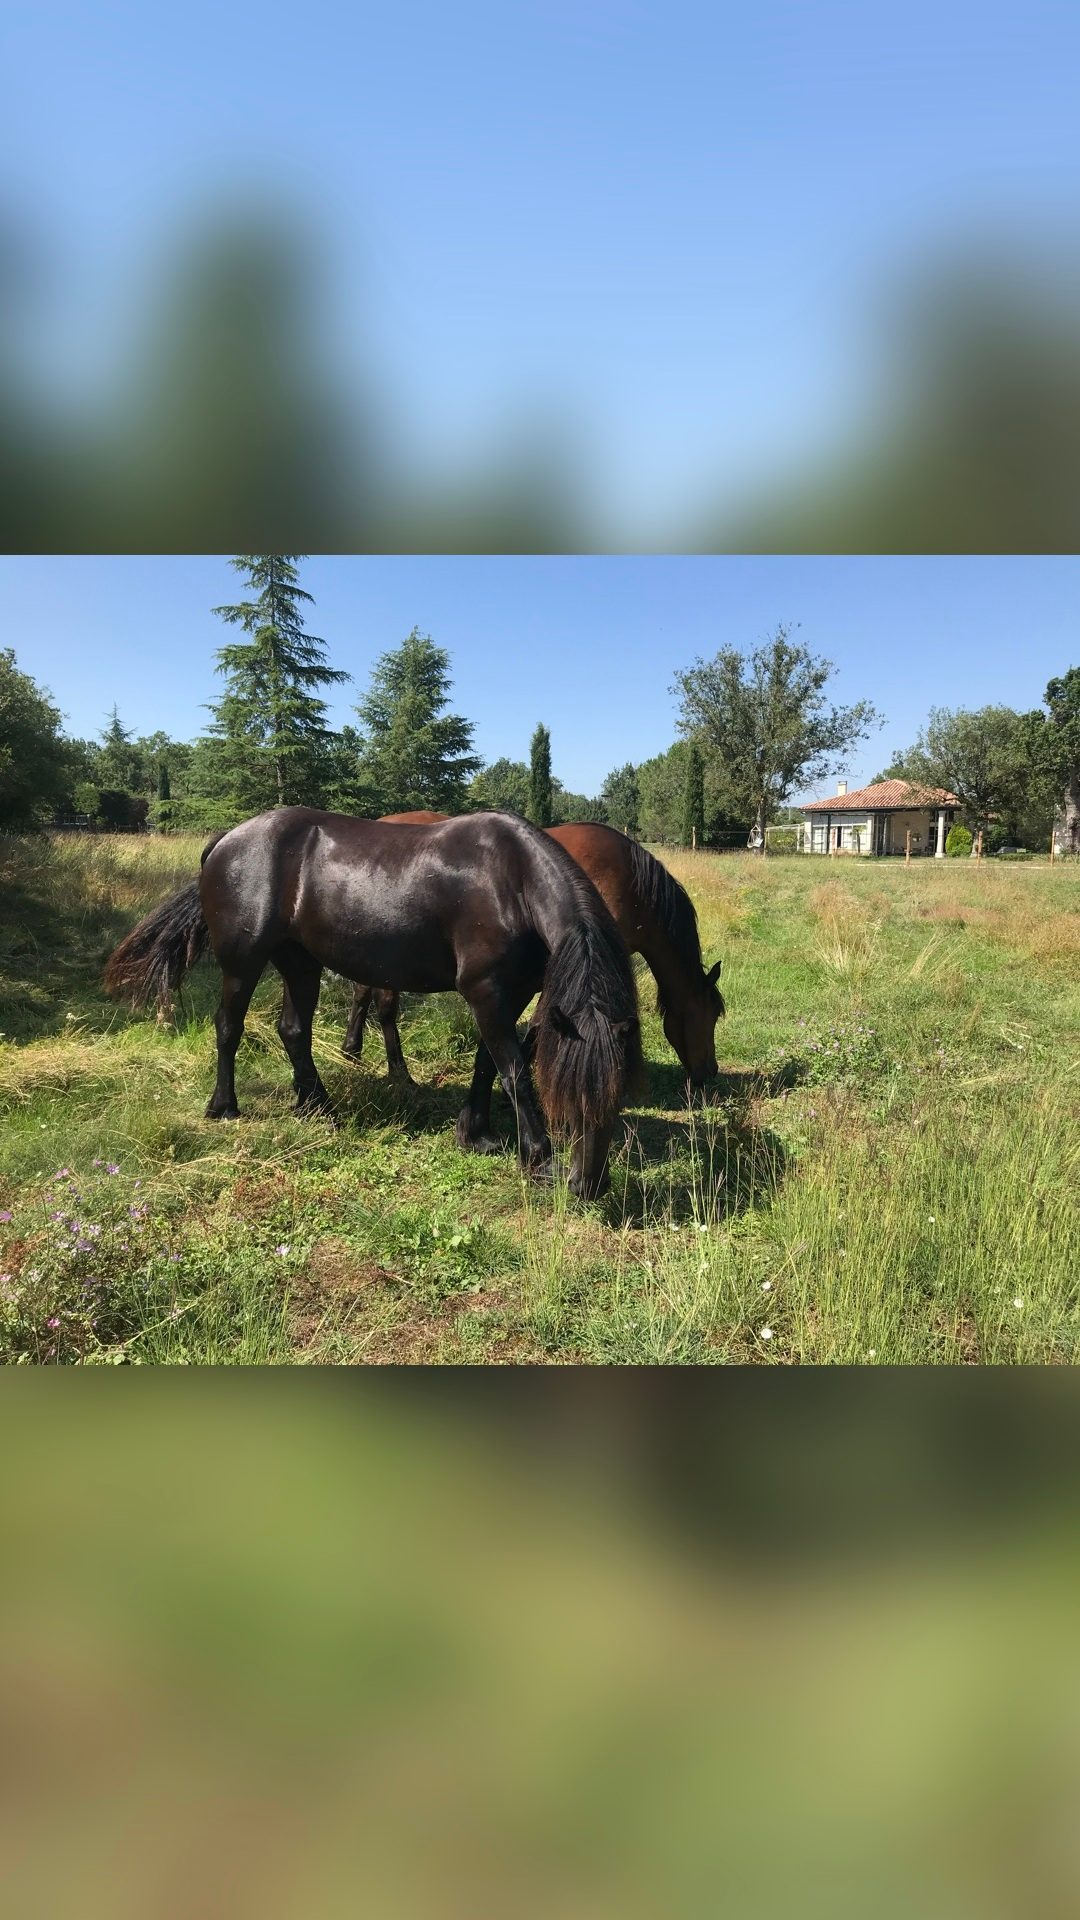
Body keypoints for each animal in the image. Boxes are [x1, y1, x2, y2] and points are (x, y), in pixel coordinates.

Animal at [104, 808, 642, 1200]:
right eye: (567, 1098)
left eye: (617, 1097)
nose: (588, 1186)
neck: (513, 880)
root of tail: (224, 841)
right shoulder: (486, 991)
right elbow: (514, 1073)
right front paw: (537, 1158)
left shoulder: (514, 993)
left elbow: (488, 1064)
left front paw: (476, 1134)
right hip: (243, 964)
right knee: (228, 1026)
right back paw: (224, 1107)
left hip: (301, 963)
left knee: (293, 1029)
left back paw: (317, 1107)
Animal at [342, 817, 725, 1090]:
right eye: (711, 1016)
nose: (711, 1072)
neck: (628, 883)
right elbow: (539, 1026)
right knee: (384, 1005)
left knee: (364, 992)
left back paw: (353, 1050)